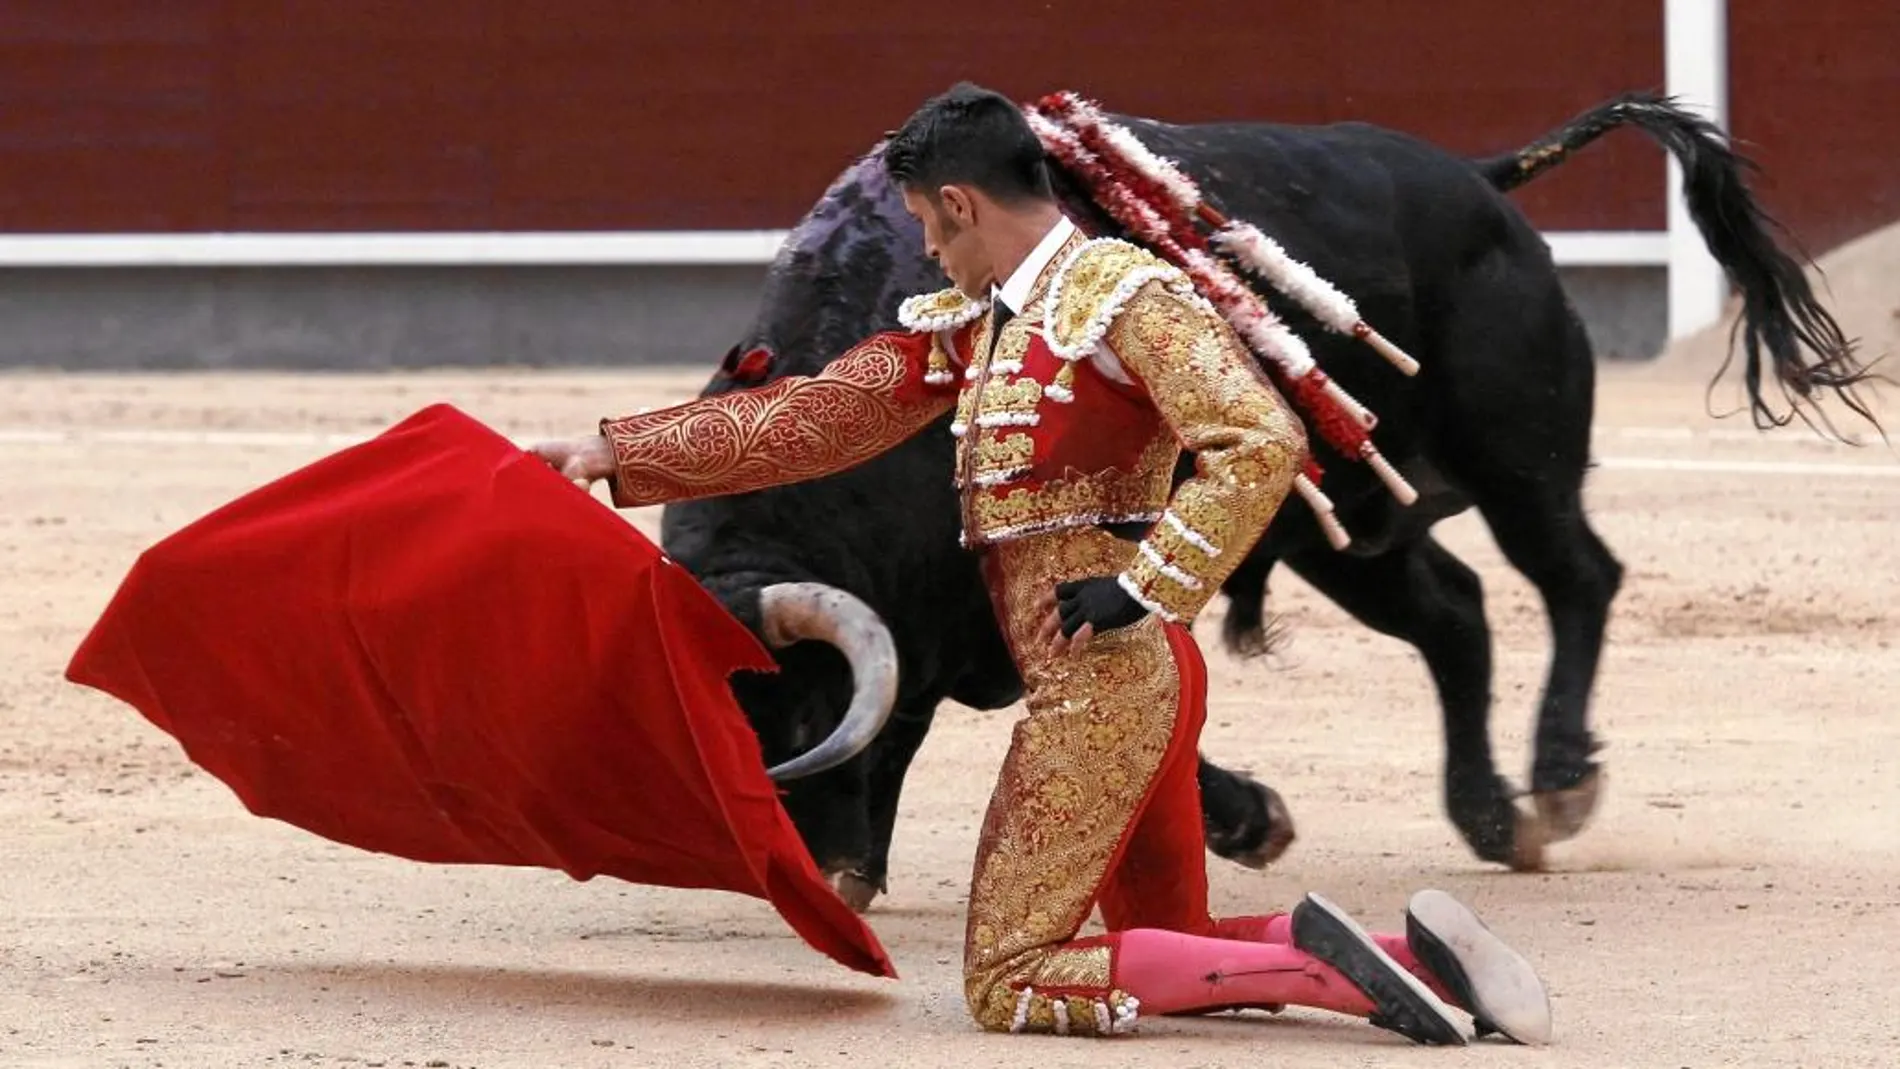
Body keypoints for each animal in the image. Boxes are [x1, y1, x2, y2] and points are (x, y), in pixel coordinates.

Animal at [653, 93, 1869, 911]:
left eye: (793, 718)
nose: (803, 872)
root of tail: (1477, 179)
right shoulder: (932, 612)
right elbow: (908, 718)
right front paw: (866, 866)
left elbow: (1115, 685)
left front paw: (1250, 819)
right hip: (1347, 523)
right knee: (1455, 614)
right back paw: (1489, 813)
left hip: (1517, 459)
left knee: (1576, 575)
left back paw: (1561, 775)